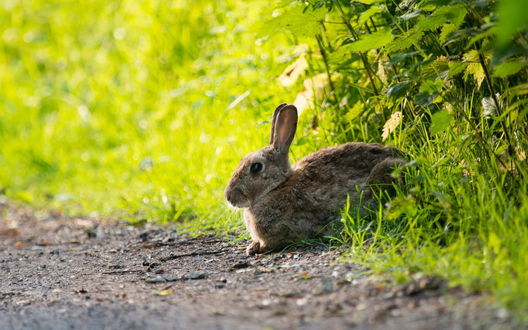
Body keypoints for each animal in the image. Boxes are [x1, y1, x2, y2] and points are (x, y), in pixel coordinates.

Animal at [224, 103, 404, 255]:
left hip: (386, 172)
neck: (279, 186)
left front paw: (255, 249)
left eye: (256, 167)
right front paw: (252, 246)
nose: (228, 197)